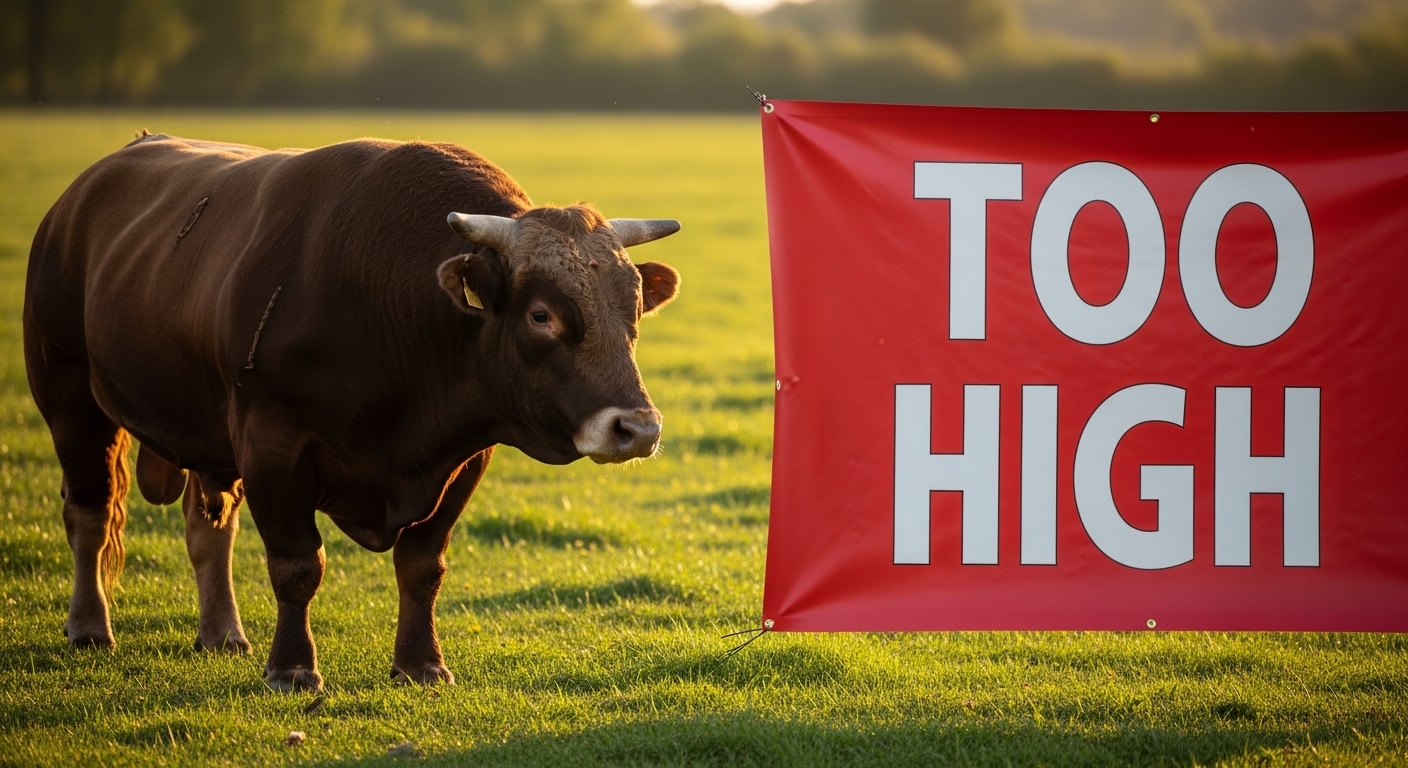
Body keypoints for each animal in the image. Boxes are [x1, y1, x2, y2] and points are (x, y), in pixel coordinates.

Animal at [23, 133, 680, 691]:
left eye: (634, 308)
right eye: (541, 315)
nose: (637, 429)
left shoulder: (464, 458)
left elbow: (422, 566)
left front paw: (420, 664)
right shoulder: (272, 448)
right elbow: (296, 565)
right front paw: (292, 669)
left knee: (209, 523)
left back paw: (222, 633)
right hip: (71, 400)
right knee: (91, 511)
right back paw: (90, 627)